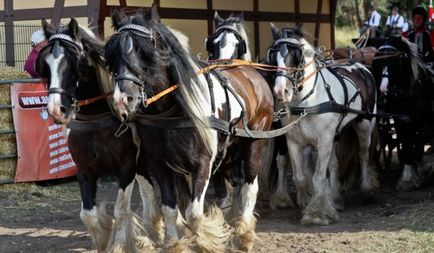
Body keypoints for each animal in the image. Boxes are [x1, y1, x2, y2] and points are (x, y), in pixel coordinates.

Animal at [35, 18, 161, 252]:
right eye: (46, 65)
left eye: (72, 62)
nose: (56, 110)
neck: (96, 120)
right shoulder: (84, 170)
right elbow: (88, 214)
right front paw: (103, 238)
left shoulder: (126, 168)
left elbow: (121, 210)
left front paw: (118, 244)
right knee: (148, 191)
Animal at [104, 5, 272, 253]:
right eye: (113, 53)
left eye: (146, 51)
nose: (122, 100)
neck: (171, 110)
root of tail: (249, 72)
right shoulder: (159, 166)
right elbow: (170, 210)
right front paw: (175, 243)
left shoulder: (203, 163)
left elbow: (194, 213)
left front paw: (208, 240)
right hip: (229, 151)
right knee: (234, 186)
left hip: (254, 143)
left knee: (250, 186)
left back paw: (244, 234)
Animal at [372, 35, 432, 190]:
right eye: (378, 60)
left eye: (394, 60)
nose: (383, 88)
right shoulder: (400, 122)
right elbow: (406, 147)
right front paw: (407, 178)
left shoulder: (422, 122)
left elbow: (417, 149)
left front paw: (422, 171)